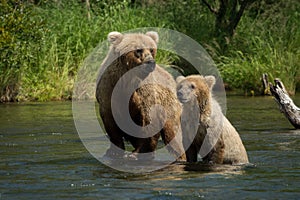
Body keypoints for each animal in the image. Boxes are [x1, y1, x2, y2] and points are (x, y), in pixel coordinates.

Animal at [95, 31, 185, 162]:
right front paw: (114, 152)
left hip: (170, 107)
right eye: (138, 50)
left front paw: (139, 153)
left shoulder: (144, 91)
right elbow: (110, 121)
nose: (150, 62)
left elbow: (149, 118)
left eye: (152, 49)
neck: (126, 79)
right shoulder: (109, 89)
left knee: (173, 135)